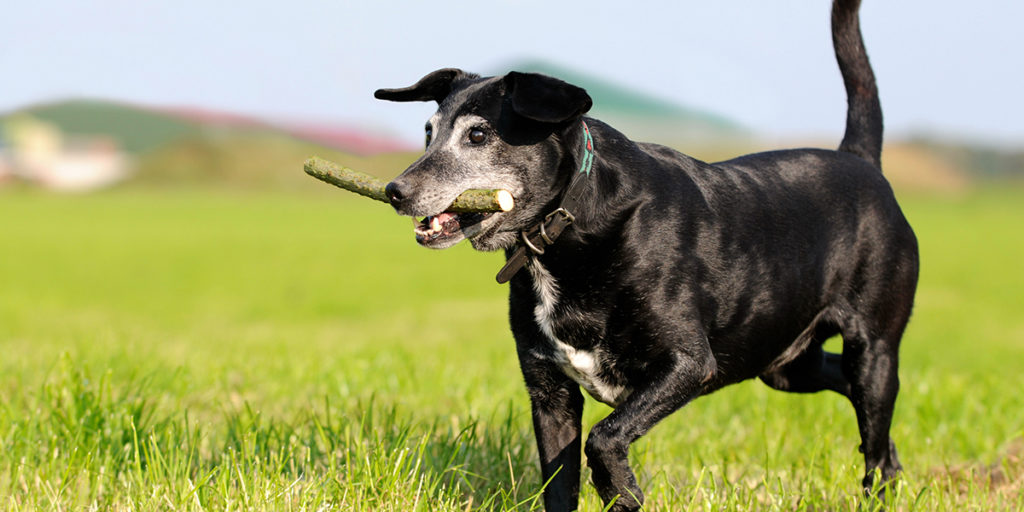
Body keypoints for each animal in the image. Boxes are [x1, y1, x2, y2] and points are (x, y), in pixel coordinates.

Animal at [374, 0, 917, 510]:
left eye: (478, 135)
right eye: (428, 132)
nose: (396, 191)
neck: (570, 223)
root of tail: (860, 160)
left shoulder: (687, 364)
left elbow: (605, 435)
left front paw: (620, 489)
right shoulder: (549, 391)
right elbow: (558, 481)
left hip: (873, 348)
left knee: (874, 433)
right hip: (784, 362)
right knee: (858, 408)